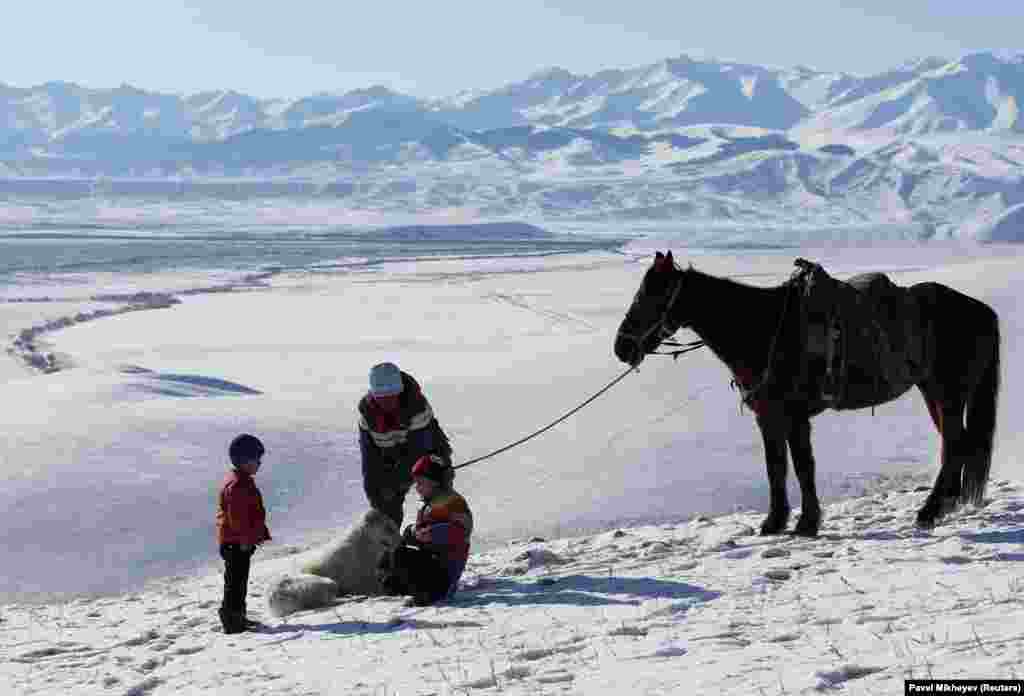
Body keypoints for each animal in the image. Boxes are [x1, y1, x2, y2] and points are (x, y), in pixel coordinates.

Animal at [268, 507, 399, 618]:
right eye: (389, 528)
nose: (401, 540)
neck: (364, 541)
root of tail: (272, 600)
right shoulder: (365, 580)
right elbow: (376, 588)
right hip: (324, 582)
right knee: (329, 601)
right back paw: (353, 598)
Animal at [614, 252, 999, 536]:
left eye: (653, 294)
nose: (622, 347)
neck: (764, 329)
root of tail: (979, 309)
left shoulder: (794, 415)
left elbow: (802, 466)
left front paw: (807, 522)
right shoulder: (768, 416)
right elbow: (776, 466)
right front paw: (775, 521)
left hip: (948, 393)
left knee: (955, 444)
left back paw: (929, 511)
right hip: (933, 392)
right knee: (954, 444)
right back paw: (944, 505)